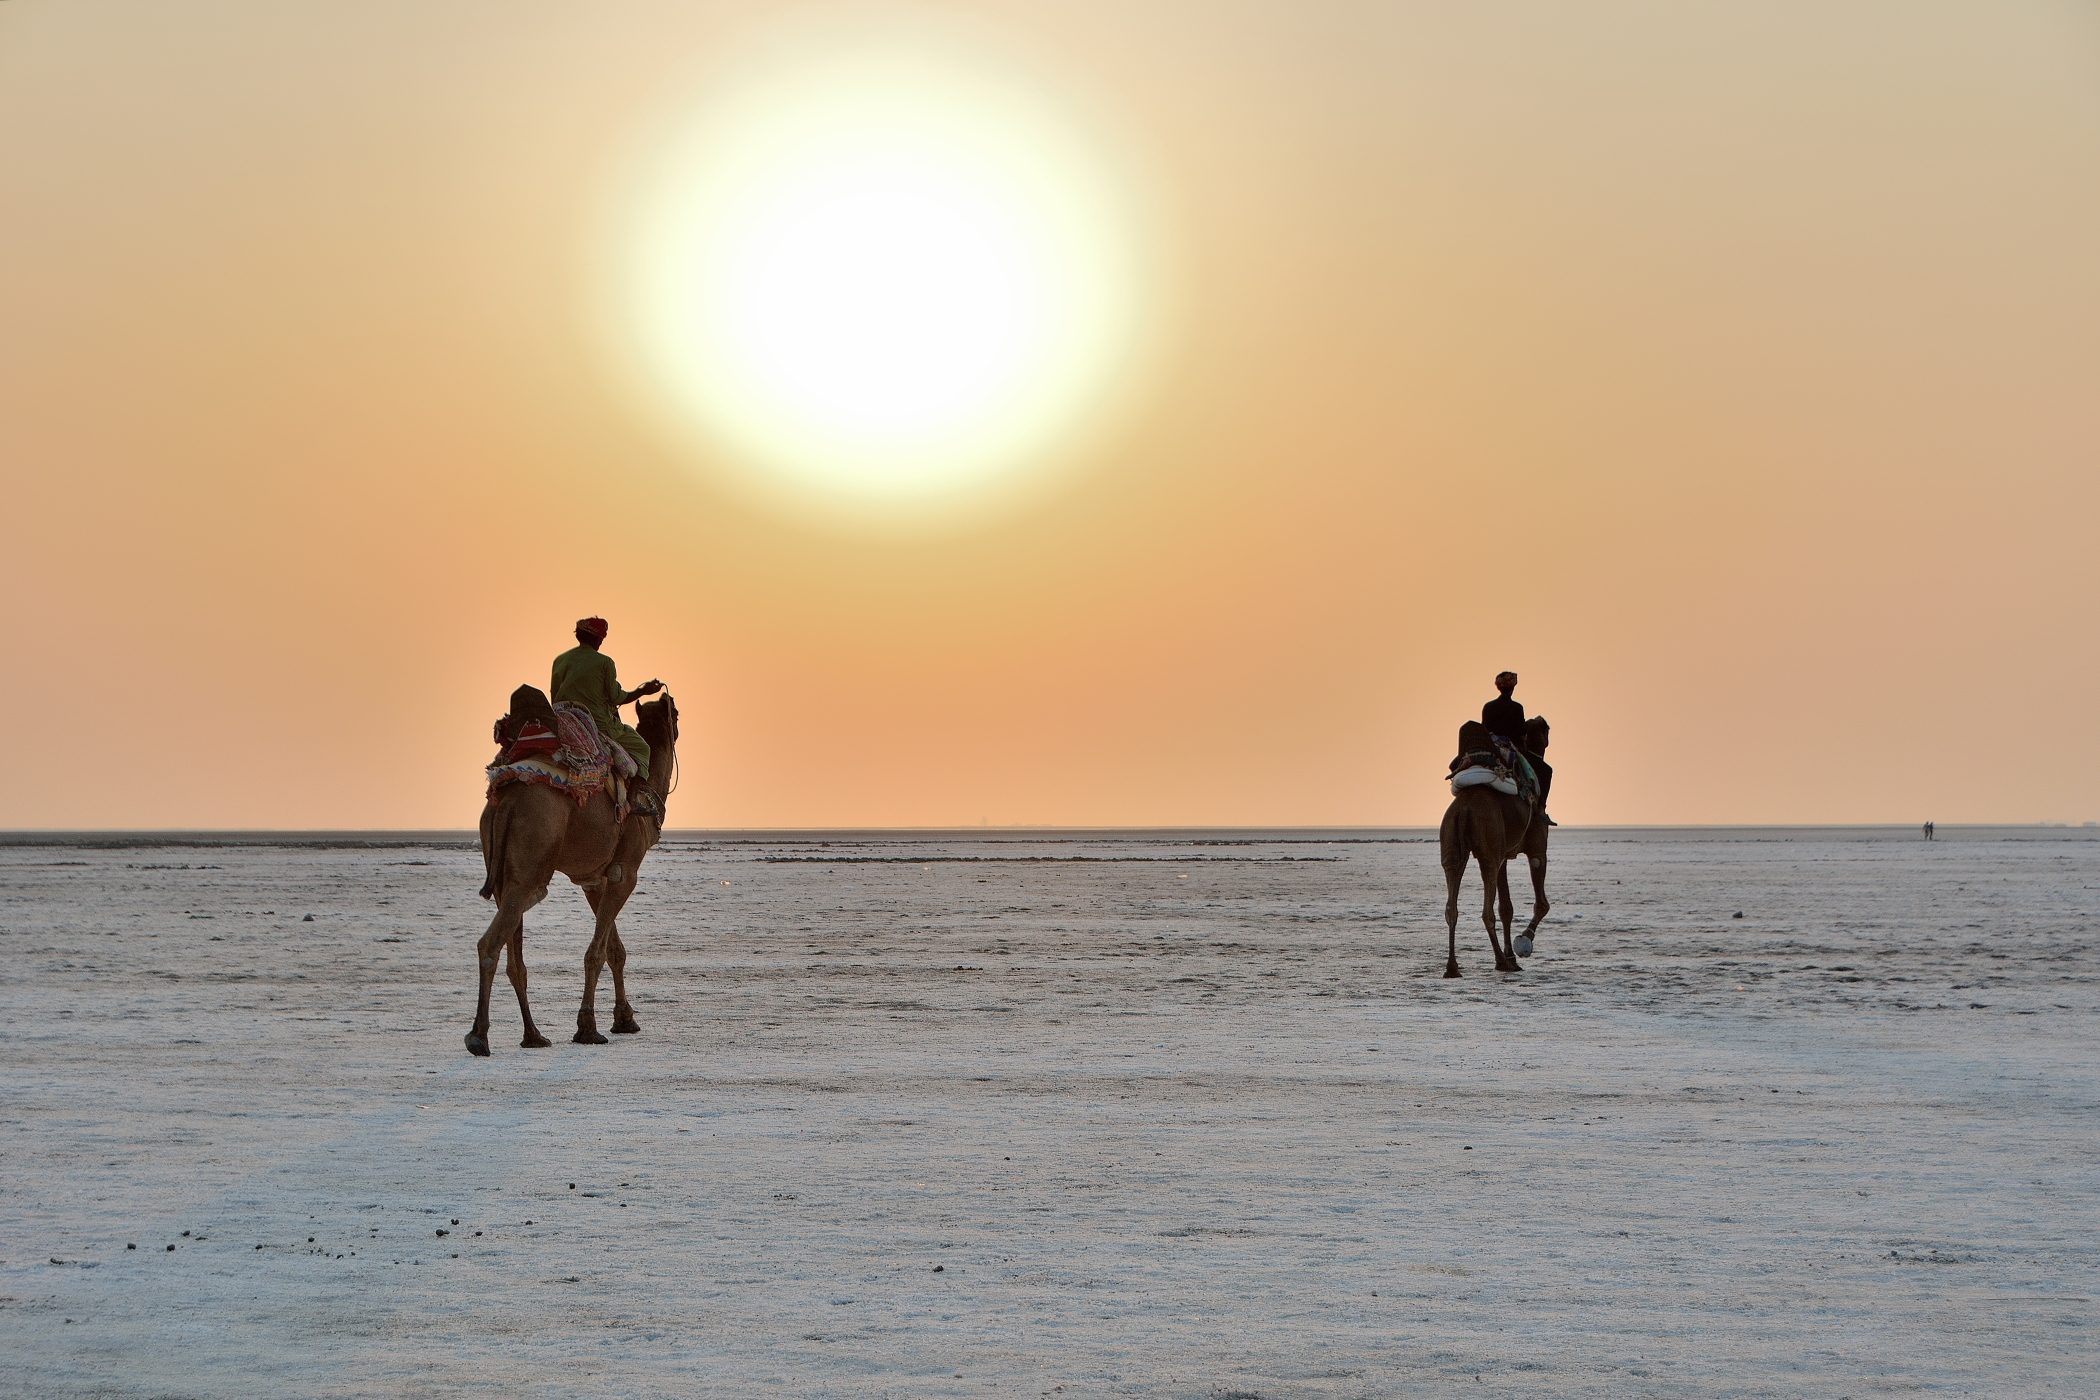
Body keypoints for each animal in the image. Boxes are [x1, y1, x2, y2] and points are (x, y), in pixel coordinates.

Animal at [466, 696, 680, 1057]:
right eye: (675, 714)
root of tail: (506, 802)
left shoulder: (594, 879)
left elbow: (615, 951)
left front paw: (625, 1019)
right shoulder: (625, 873)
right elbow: (596, 953)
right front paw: (588, 1027)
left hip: (505, 874)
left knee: (515, 958)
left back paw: (533, 1035)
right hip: (533, 860)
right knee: (490, 943)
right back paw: (478, 1036)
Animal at [1436, 785, 1553, 982]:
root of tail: (1464, 808)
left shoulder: (1503, 855)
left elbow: (1506, 908)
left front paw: (1512, 956)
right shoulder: (1537, 848)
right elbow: (1542, 904)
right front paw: (1524, 940)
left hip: (1450, 841)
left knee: (1451, 907)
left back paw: (1452, 968)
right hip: (1489, 845)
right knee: (1486, 911)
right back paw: (1501, 961)